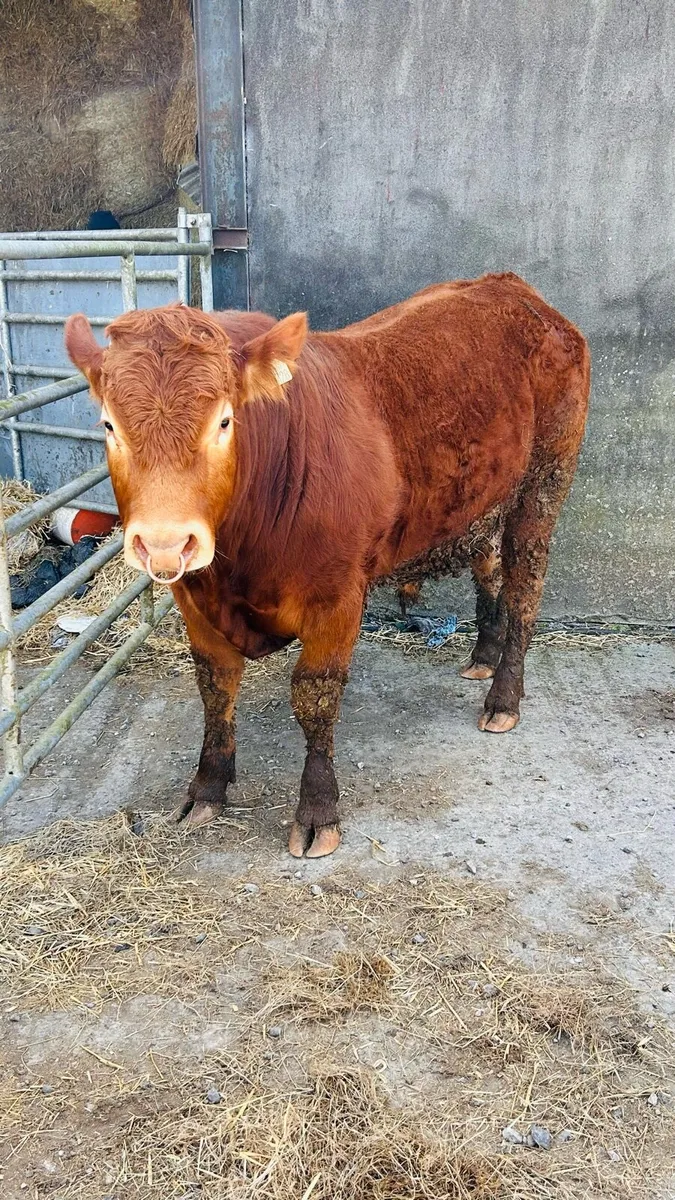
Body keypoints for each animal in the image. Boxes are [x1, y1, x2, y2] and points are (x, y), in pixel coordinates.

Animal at [64, 273, 590, 858]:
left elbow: (314, 697)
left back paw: (503, 696)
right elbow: (215, 688)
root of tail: (515, 289)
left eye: (224, 420)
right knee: (489, 568)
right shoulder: (195, 600)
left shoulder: (337, 597)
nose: (165, 543)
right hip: (484, 499)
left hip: (544, 484)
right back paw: (483, 654)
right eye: (109, 425)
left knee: (524, 587)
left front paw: (317, 811)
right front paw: (207, 787)